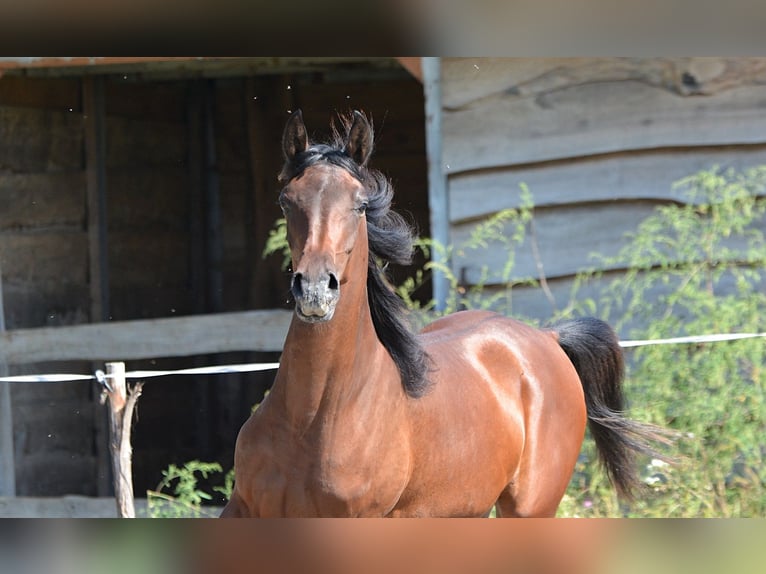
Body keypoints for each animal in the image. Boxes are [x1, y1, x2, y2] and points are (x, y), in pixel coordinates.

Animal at [222, 110, 672, 520]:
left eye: (360, 206)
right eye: (286, 201)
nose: (315, 289)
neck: (313, 417)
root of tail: (546, 338)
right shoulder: (242, 510)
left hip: (530, 510)